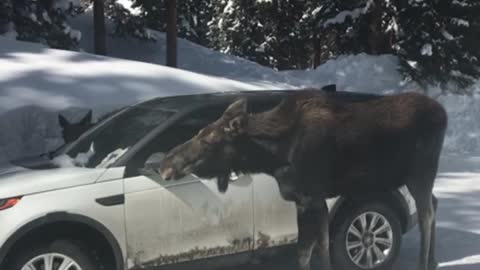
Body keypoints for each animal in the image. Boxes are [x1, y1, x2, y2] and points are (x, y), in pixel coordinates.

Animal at [159, 89, 448, 270]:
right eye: (198, 132)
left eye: (209, 139)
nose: (165, 164)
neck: (273, 156)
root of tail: (444, 114)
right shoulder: (310, 199)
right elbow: (319, 247)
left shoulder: (309, 197)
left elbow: (303, 252)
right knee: (435, 203)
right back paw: (434, 260)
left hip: (420, 173)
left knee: (426, 214)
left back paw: (424, 264)